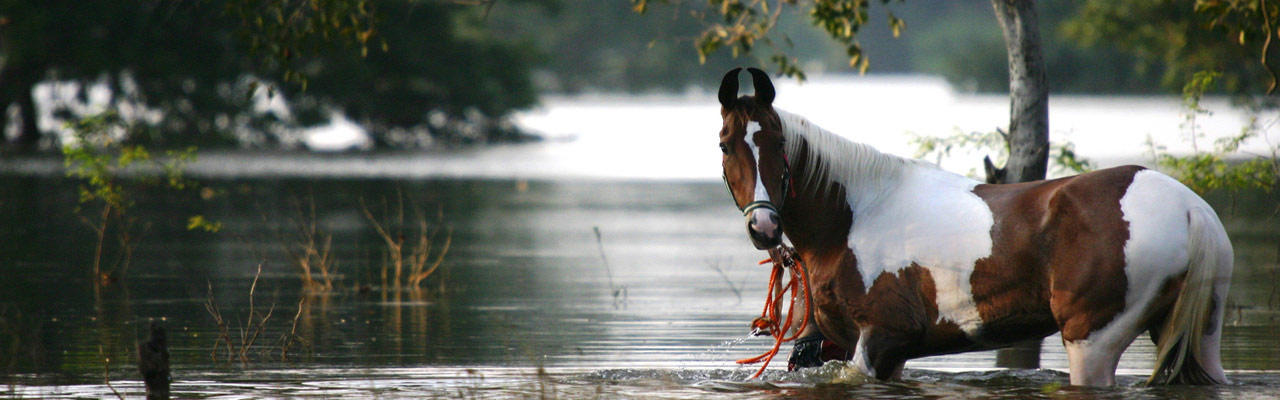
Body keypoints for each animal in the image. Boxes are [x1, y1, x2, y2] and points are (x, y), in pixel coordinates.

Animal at [716, 67, 1233, 387]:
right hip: (1201, 334)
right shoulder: (880, 351)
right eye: (725, 144)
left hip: (1093, 342)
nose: (764, 225)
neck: (853, 214)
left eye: (778, 141)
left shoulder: (877, 339)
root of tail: (1190, 209)